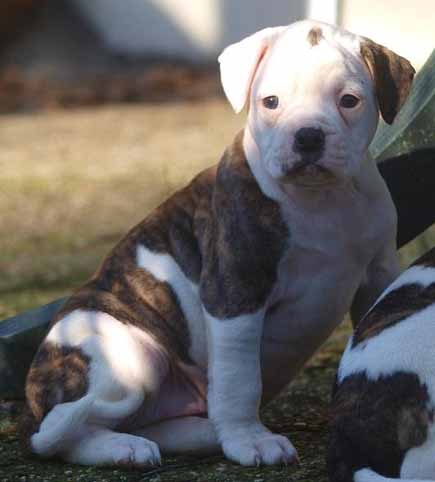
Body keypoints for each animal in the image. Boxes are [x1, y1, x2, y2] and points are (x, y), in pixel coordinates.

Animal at [20, 20, 416, 468]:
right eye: (270, 102)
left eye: (348, 101)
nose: (308, 136)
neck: (321, 199)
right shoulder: (235, 294)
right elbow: (240, 379)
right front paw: (250, 440)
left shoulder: (377, 273)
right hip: (131, 357)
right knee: (61, 433)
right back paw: (125, 448)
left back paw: (195, 433)